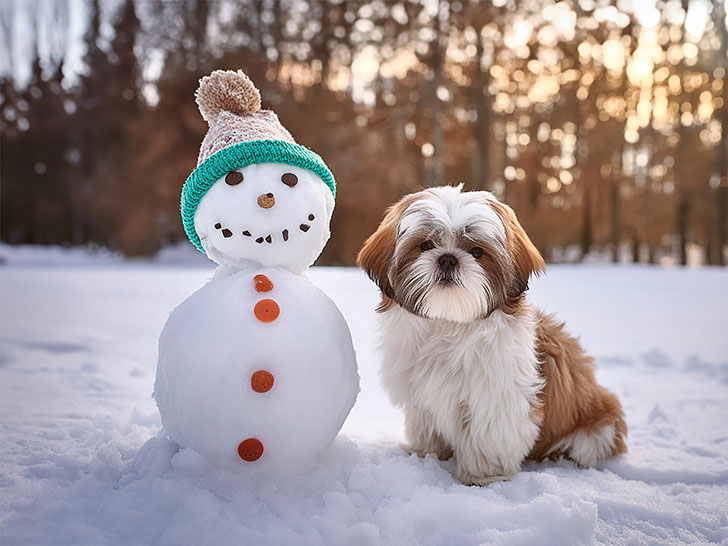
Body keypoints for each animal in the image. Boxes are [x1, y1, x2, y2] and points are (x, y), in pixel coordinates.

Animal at [358, 185, 624, 482]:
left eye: (476, 251)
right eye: (425, 245)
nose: (447, 258)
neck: (449, 321)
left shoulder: (498, 398)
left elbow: (488, 438)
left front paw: (483, 477)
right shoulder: (420, 397)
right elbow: (426, 424)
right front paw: (427, 453)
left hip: (596, 431)